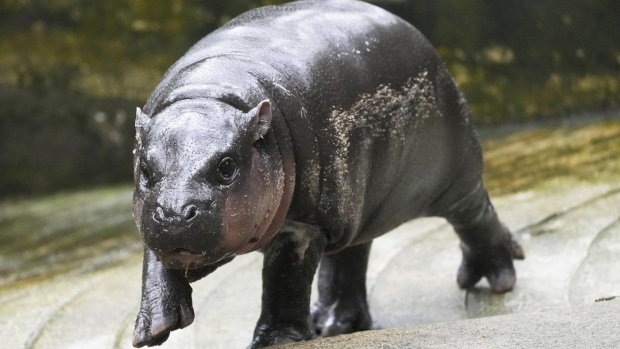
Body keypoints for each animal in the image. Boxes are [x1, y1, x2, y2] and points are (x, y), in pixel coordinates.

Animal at [130, 1, 524, 346]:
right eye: (145, 168)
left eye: (227, 166)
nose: (175, 214)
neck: (210, 94)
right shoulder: (152, 218)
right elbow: (154, 262)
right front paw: (154, 329)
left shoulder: (305, 224)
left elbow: (285, 280)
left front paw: (276, 341)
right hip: (356, 204)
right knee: (349, 256)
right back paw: (333, 323)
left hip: (452, 176)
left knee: (475, 215)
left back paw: (495, 278)